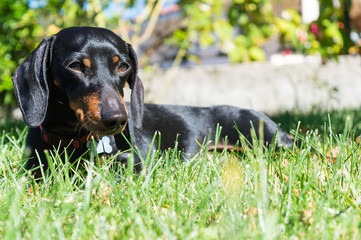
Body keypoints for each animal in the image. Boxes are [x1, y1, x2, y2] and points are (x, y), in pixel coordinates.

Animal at [12, 26, 294, 178]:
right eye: (75, 66)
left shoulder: (131, 162)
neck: (72, 139)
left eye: (123, 66)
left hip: (268, 140)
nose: (117, 120)